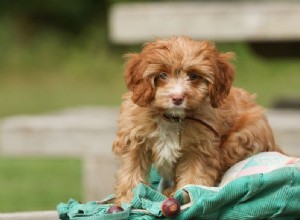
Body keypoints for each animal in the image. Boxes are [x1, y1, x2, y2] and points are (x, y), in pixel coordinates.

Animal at [111, 36, 282, 205]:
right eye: (162, 75)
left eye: (193, 76)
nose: (177, 98)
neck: (172, 118)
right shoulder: (134, 139)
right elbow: (131, 170)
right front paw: (128, 199)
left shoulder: (200, 148)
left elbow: (193, 176)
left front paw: (186, 195)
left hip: (241, 138)